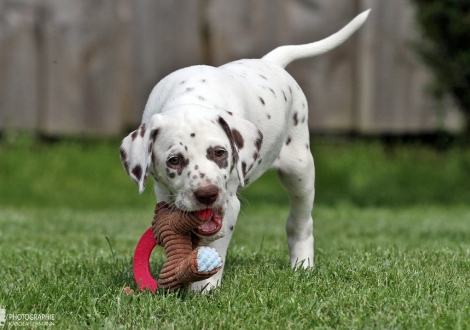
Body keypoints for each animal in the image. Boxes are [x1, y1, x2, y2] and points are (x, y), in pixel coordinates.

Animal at [119, 9, 370, 290]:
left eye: (219, 153)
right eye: (174, 160)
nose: (207, 194)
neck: (191, 96)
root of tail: (269, 62)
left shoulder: (228, 206)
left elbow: (214, 244)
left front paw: (204, 288)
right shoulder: (165, 195)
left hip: (299, 170)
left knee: (300, 222)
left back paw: (302, 264)